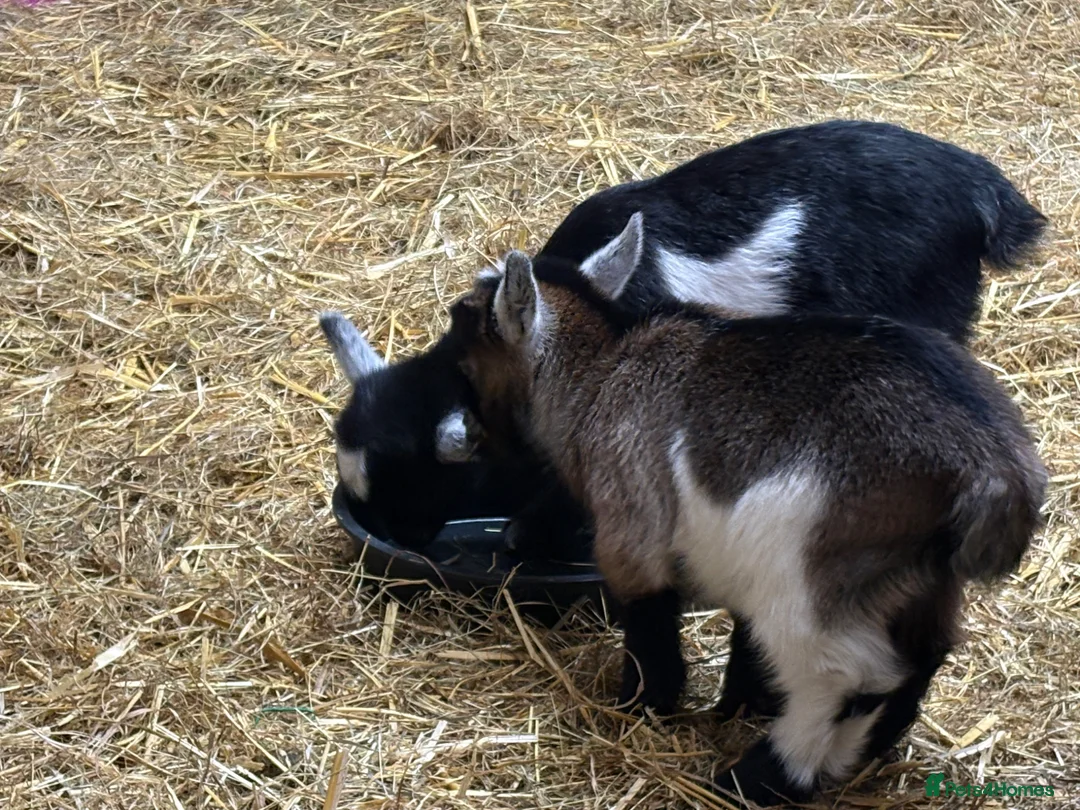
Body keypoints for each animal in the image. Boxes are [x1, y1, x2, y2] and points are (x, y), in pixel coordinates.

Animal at [446, 225, 1048, 807]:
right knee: (922, 656)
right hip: (912, 575)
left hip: (805, 568)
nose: (468, 439)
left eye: (465, 362)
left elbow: (649, 617)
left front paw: (641, 708)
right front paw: (737, 704)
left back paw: (761, 778)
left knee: (847, 675)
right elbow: (743, 633)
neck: (603, 370)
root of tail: (992, 466)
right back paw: (863, 751)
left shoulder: (631, 528)